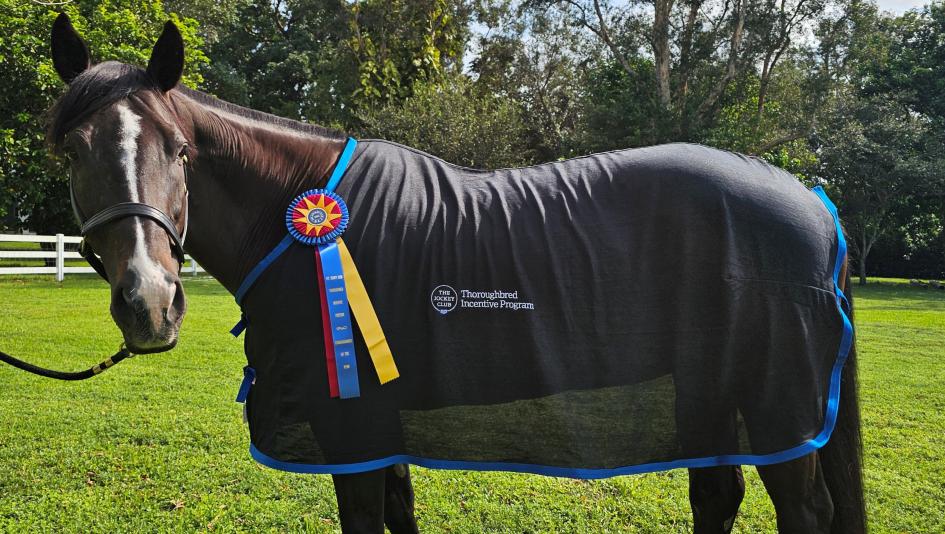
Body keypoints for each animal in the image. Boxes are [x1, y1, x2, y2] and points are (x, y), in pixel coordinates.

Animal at [45, 14, 865, 533]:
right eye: (72, 151)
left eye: (180, 151)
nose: (150, 304)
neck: (303, 218)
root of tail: (813, 201)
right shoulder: (383, 426)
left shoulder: (351, 425)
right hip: (706, 391)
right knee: (717, 494)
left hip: (776, 406)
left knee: (801, 512)